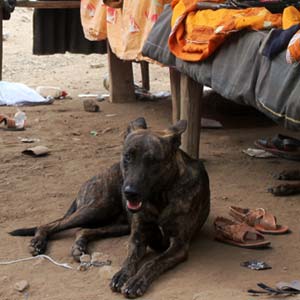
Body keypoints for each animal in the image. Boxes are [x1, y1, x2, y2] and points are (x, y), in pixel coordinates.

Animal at [9, 118, 211, 298]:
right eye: (128, 156)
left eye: (153, 160)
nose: (129, 192)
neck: (160, 198)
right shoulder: (137, 237)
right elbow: (130, 260)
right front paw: (122, 275)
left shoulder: (179, 245)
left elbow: (152, 263)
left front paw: (136, 281)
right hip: (98, 209)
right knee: (51, 224)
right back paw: (38, 242)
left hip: (118, 224)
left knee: (83, 230)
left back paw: (79, 247)